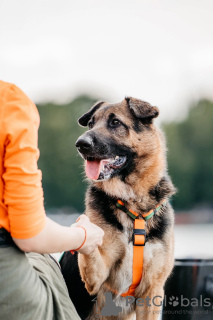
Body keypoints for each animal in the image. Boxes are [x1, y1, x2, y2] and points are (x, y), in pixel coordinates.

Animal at [60, 97, 176, 320]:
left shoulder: (152, 292)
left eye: (115, 123)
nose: (80, 144)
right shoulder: (96, 278)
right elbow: (91, 251)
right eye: (91, 124)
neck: (132, 203)